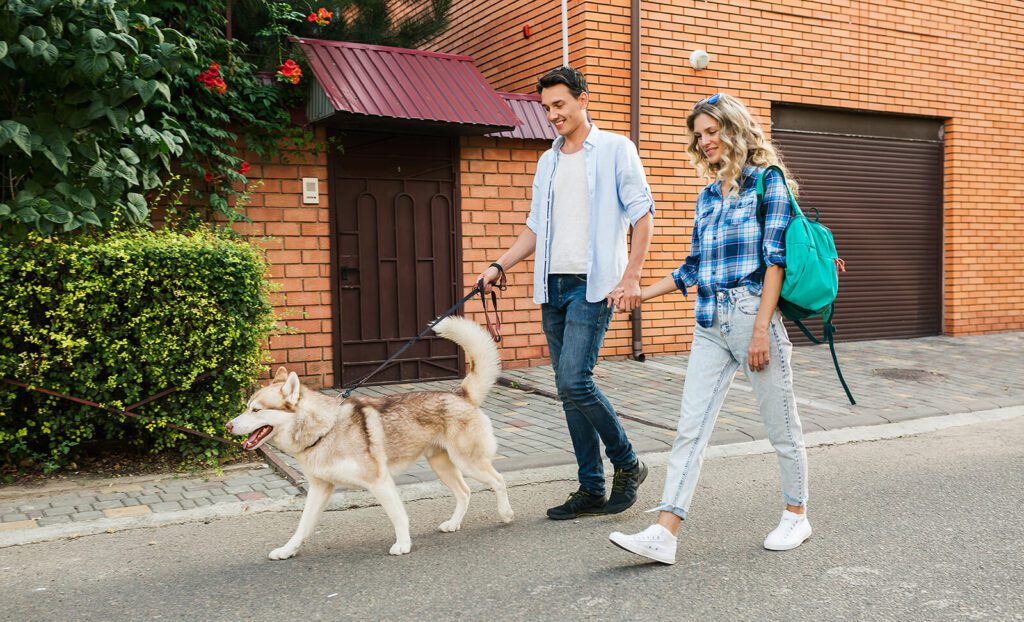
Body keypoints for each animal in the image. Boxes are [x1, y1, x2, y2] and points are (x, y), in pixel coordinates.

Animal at [224, 315, 512, 561]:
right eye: (246, 407)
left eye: (255, 410)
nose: (228, 425)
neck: (326, 430)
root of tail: (460, 394)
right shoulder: (319, 489)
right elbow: (302, 526)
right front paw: (287, 550)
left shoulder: (379, 481)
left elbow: (398, 516)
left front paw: (403, 544)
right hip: (442, 465)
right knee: (465, 492)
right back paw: (453, 523)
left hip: (468, 463)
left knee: (498, 481)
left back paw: (506, 513)